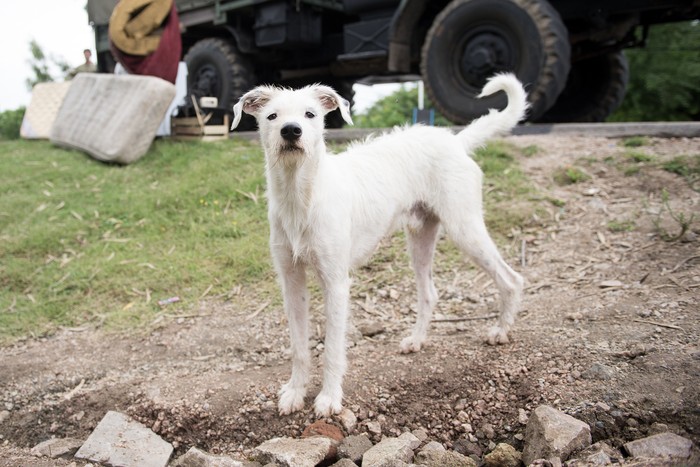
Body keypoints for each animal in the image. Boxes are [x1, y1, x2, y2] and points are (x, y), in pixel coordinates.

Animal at [232, 75, 528, 418]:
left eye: (310, 115)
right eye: (272, 116)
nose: (291, 131)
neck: (301, 196)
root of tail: (454, 141)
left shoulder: (336, 283)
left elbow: (332, 349)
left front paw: (329, 397)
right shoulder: (291, 282)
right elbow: (299, 347)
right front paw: (295, 391)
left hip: (464, 228)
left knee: (511, 279)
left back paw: (501, 331)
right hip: (420, 238)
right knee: (430, 293)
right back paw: (417, 339)